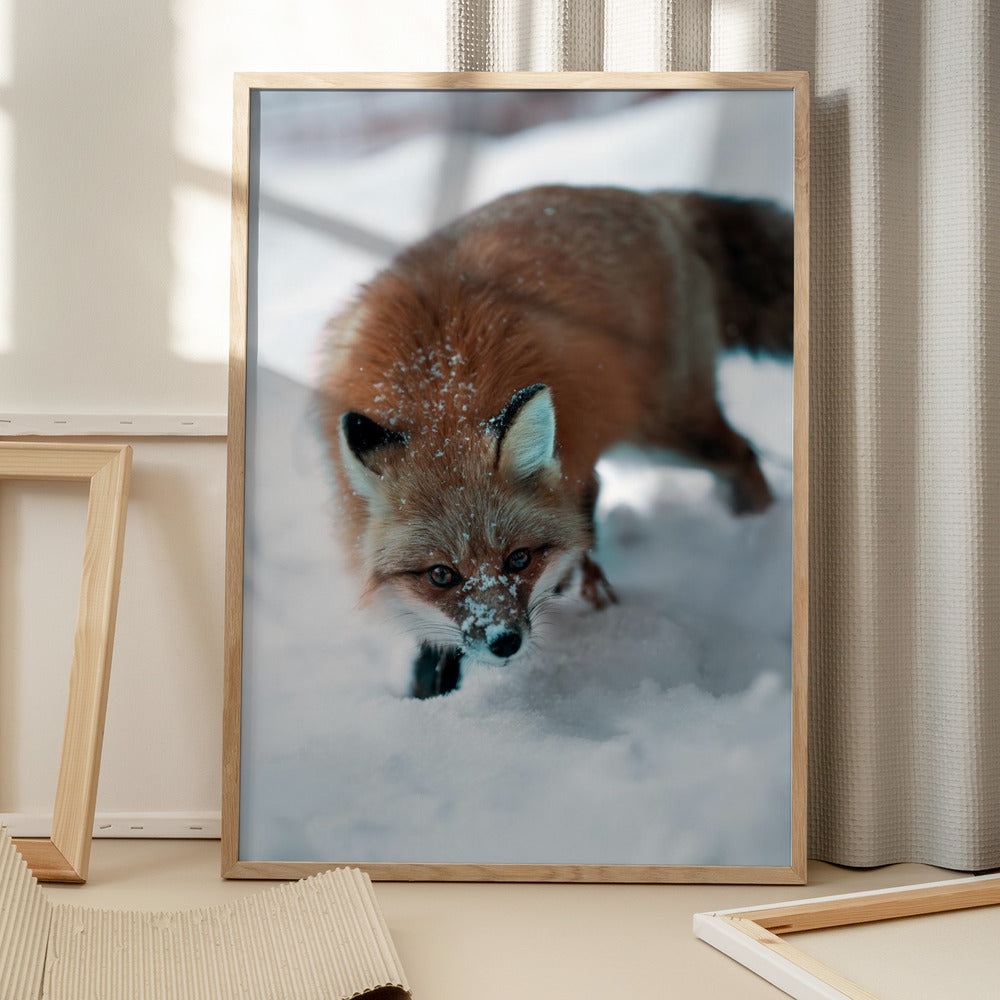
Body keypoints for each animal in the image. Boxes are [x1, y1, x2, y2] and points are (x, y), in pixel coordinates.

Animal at [316, 184, 793, 698]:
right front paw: (430, 690)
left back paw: (761, 542)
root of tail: (649, 198)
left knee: (743, 455)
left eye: (519, 558)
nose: (505, 642)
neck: (441, 385)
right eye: (442, 574)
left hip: (668, 432)